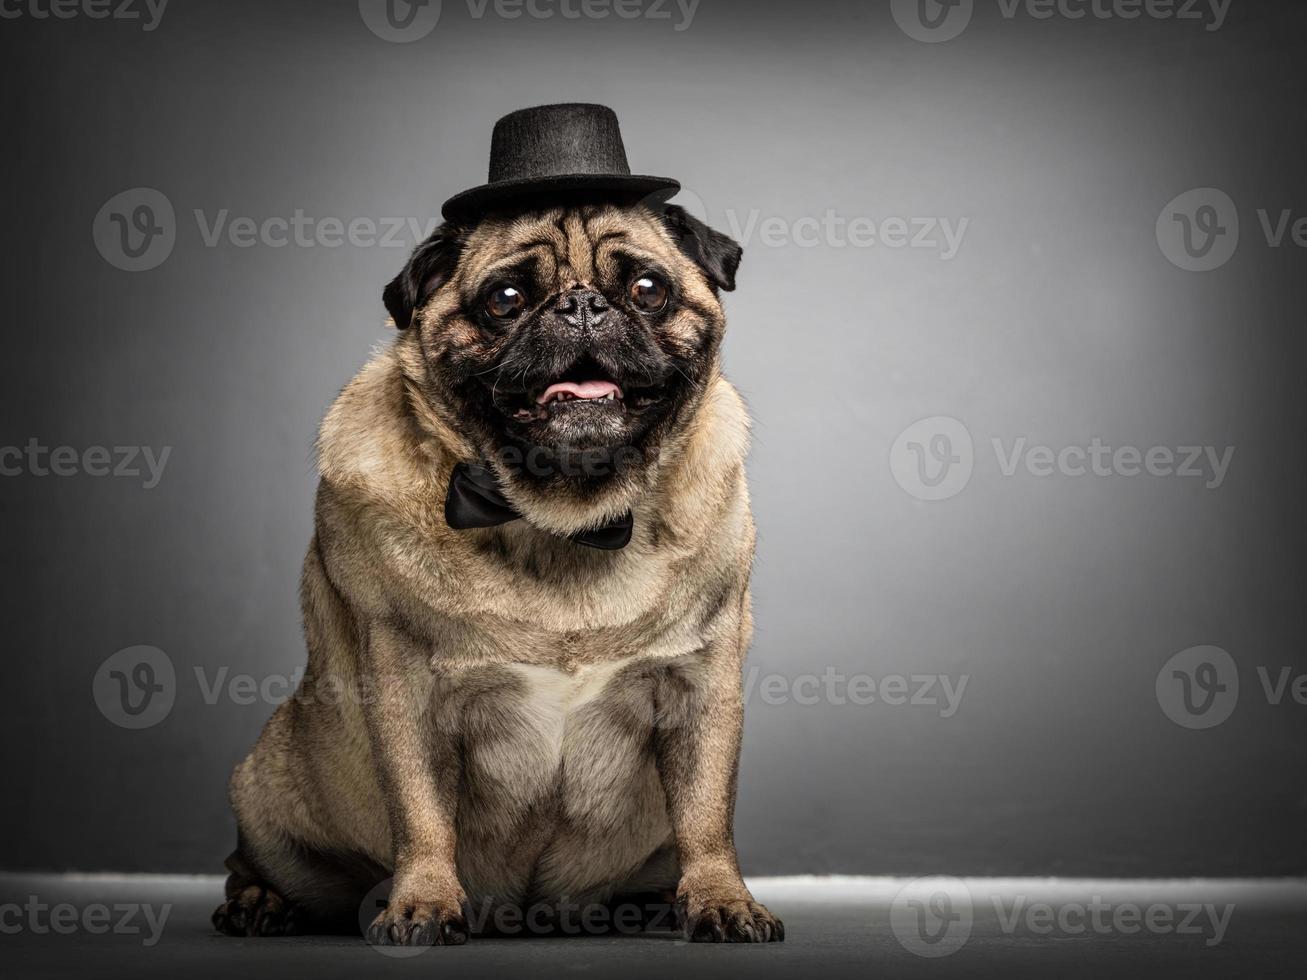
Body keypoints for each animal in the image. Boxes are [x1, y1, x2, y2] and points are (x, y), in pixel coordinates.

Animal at [211, 109, 773, 951]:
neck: (563, 517)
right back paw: (258, 903)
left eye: (646, 288)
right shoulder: (404, 690)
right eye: (505, 299)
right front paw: (421, 906)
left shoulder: (702, 688)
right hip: (270, 784)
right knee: (256, 861)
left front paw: (719, 900)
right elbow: (420, 815)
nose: (581, 306)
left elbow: (707, 813)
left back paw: (648, 903)